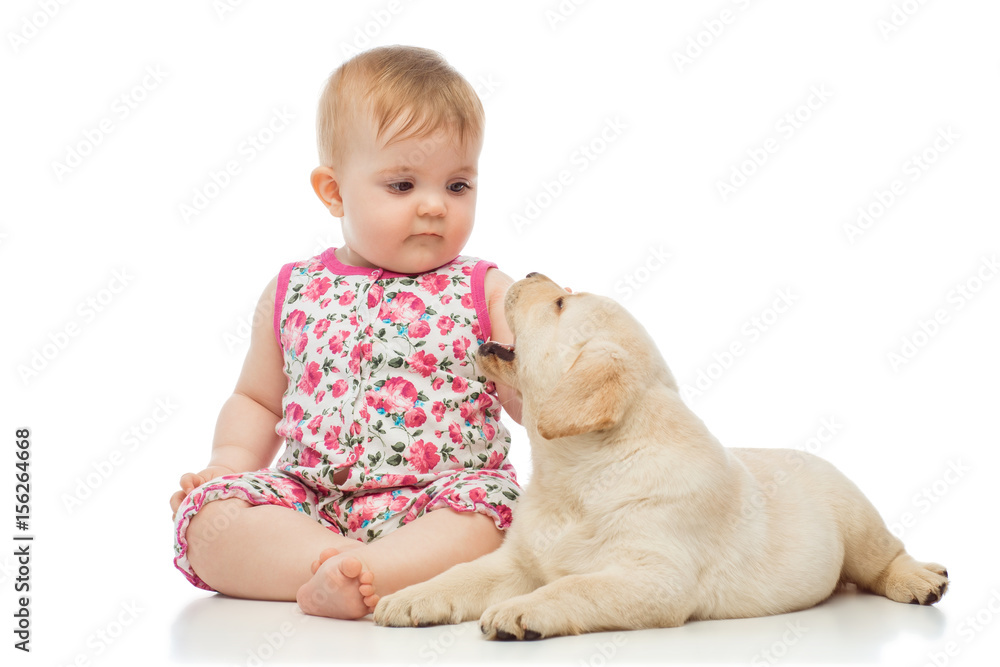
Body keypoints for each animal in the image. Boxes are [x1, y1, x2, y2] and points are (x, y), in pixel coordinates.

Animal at [372, 272, 948, 640]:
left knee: (883, 559)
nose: (531, 270)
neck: (577, 474)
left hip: (855, 516)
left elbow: (575, 586)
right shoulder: (517, 560)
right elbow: (461, 575)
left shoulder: (653, 579)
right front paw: (408, 597)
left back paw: (920, 580)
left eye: (560, 304)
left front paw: (521, 610)